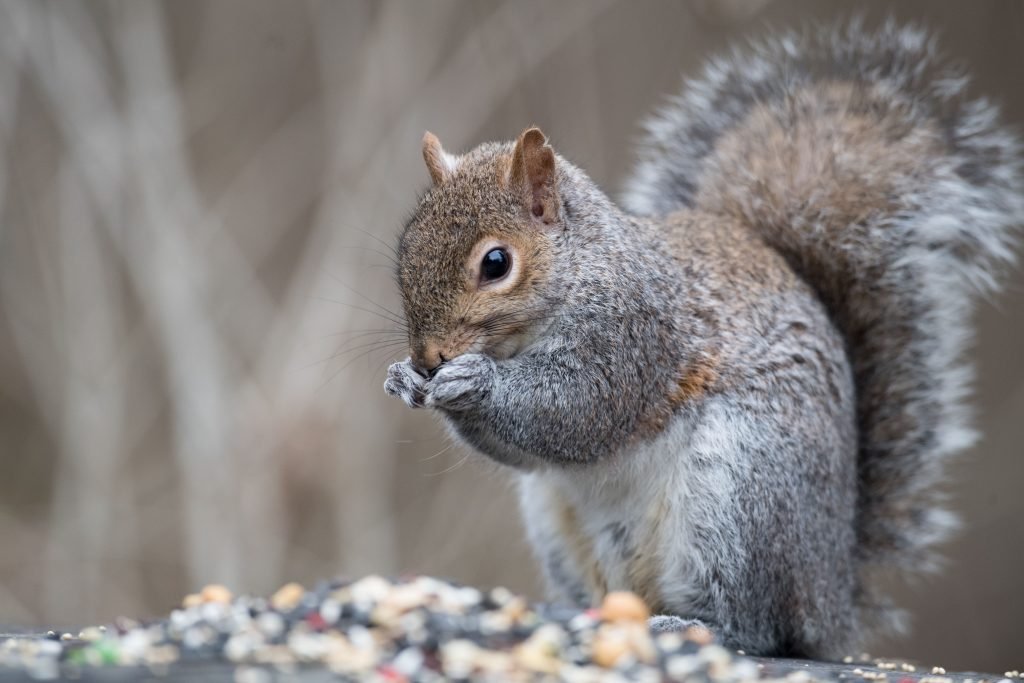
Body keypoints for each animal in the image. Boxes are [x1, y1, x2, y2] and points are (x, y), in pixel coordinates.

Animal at [383, 21, 1022, 658]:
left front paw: (474, 381)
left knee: (758, 628)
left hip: (743, 498)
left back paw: (698, 626)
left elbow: (579, 411)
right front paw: (405, 378)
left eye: (496, 263)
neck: (580, 271)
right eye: (405, 247)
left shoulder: (637, 335)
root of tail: (832, 596)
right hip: (559, 523)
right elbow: (524, 449)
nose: (429, 356)